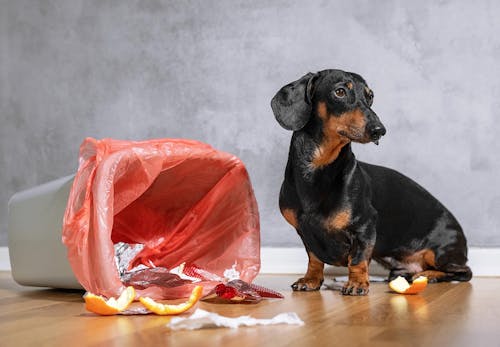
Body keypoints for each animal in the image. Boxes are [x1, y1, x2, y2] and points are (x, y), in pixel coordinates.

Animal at [272, 68, 470, 296]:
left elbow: (358, 260)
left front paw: (357, 283)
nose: (379, 130)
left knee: (463, 272)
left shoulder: (364, 226)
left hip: (440, 253)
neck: (318, 170)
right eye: (340, 92)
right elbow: (314, 259)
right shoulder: (306, 234)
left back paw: (429, 275)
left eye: (370, 96)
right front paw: (311, 280)